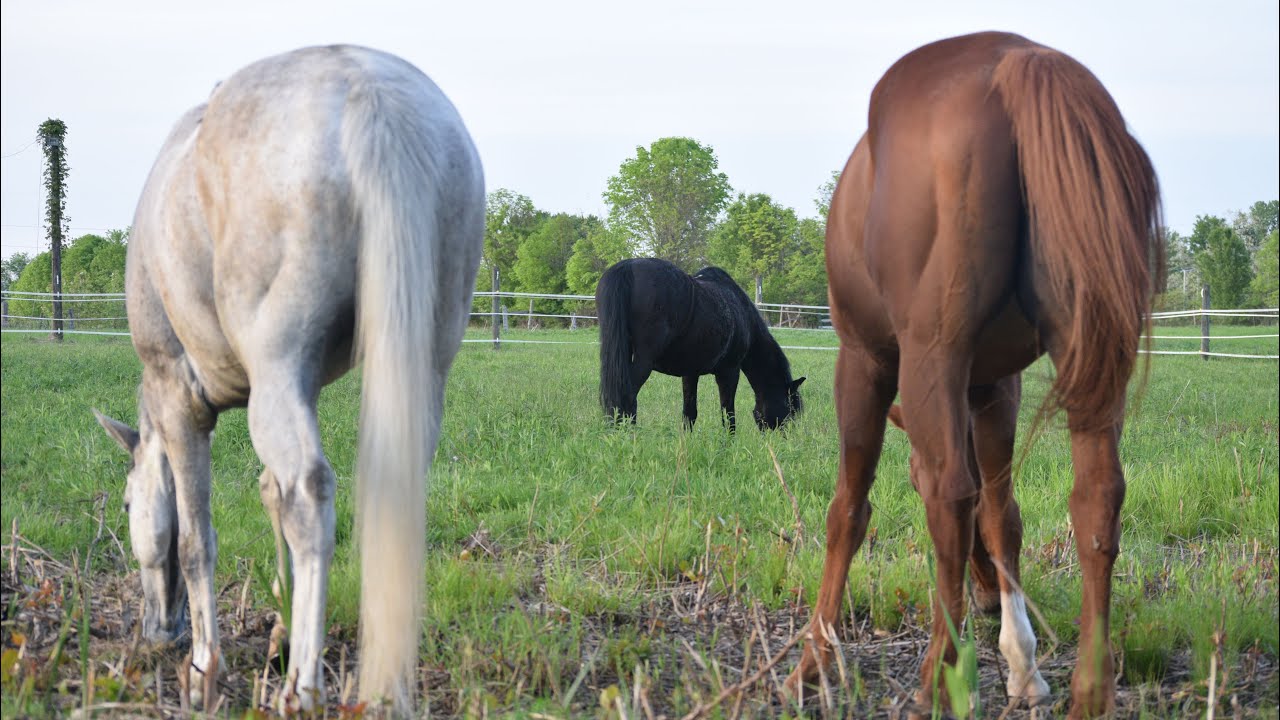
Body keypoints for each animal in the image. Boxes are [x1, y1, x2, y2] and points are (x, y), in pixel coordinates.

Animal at [92, 45, 484, 716]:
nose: (159, 632)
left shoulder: (180, 401)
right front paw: (279, 624)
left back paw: (302, 687)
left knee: (309, 496)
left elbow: (196, 539)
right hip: (417, 369)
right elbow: (269, 493)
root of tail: (370, 89)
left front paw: (205, 668)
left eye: (124, 504)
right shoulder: (294, 390)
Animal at [595, 257, 805, 431]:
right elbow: (728, 417)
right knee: (627, 399)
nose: (781, 439)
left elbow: (689, 414)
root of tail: (628, 266)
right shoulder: (729, 371)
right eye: (789, 411)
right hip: (642, 362)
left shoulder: (690, 373)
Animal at [784, 32, 1163, 718]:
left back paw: (939, 676)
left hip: (927, 356)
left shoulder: (866, 361)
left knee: (951, 498)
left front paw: (812, 662)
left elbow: (849, 511)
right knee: (1096, 495)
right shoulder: (992, 388)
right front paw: (1023, 662)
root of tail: (1021, 60)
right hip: (1090, 359)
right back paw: (1090, 688)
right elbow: (1003, 513)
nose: (985, 599)